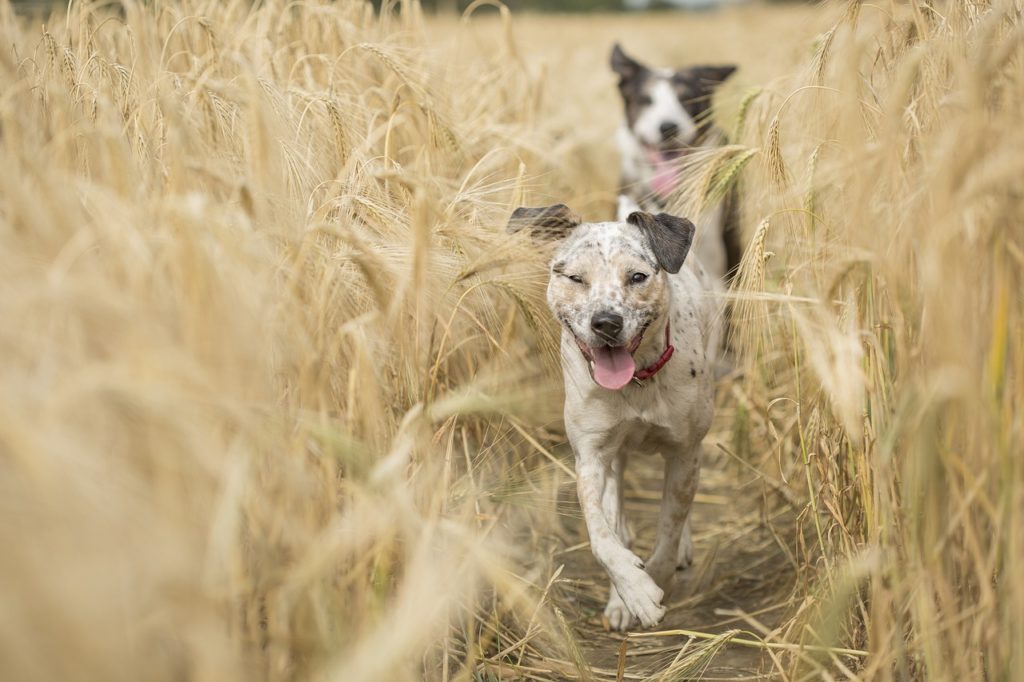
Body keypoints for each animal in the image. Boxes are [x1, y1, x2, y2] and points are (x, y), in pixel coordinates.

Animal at [505, 202, 720, 630]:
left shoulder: (685, 452)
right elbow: (600, 534)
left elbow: (669, 530)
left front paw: (652, 581)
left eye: (637, 276)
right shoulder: (591, 456)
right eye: (575, 278)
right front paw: (631, 592)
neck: (637, 383)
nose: (606, 322)